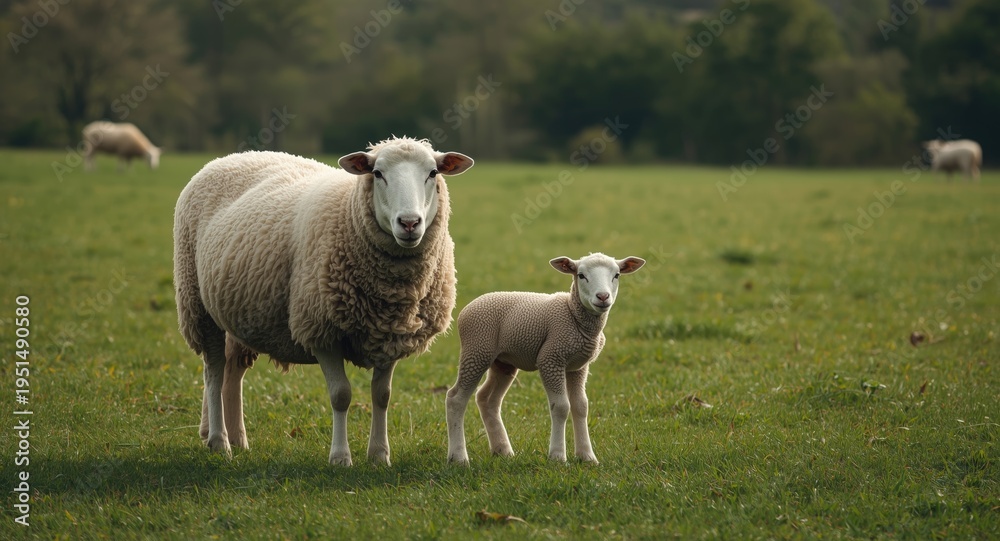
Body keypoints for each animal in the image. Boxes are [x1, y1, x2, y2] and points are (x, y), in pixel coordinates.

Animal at [173, 137, 474, 466]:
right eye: (377, 173)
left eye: (433, 173)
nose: (409, 223)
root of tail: (232, 157)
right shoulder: (321, 330)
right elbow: (341, 395)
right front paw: (340, 457)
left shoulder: (391, 335)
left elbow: (382, 396)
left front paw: (379, 455)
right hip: (197, 304)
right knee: (213, 370)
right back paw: (219, 441)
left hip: (240, 309)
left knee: (232, 371)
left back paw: (238, 439)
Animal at [445, 252, 645, 465]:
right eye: (581, 275)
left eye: (617, 275)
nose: (603, 297)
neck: (573, 315)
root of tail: (468, 308)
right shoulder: (551, 359)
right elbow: (561, 407)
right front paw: (557, 456)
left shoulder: (578, 366)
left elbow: (581, 406)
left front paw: (587, 456)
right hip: (476, 349)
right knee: (455, 398)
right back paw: (458, 457)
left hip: (502, 362)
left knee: (487, 399)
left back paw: (503, 450)